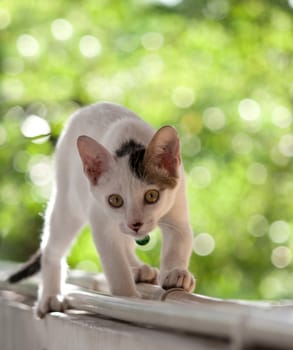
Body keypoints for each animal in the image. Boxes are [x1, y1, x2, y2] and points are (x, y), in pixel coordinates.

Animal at [8, 101, 195, 318]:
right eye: (115, 200)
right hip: (68, 202)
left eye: (151, 196)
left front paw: (176, 273)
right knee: (52, 248)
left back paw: (137, 268)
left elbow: (178, 241)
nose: (135, 224)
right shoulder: (101, 220)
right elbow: (115, 266)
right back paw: (50, 296)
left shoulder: (177, 203)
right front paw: (128, 298)